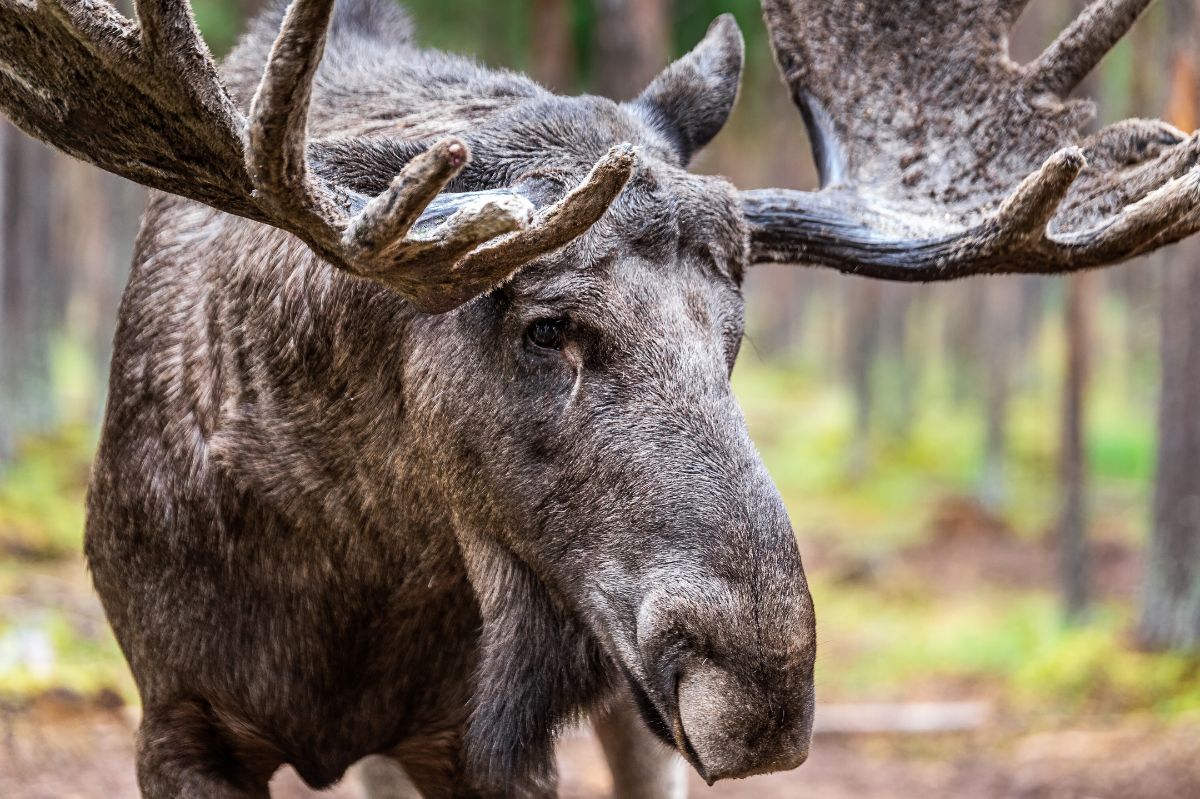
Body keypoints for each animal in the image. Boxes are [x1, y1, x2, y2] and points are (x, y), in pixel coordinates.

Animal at [2, 0, 1200, 791]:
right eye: (546, 328)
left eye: (734, 335)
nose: (763, 688)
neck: (342, 571)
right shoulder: (178, 715)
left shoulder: (473, 741)